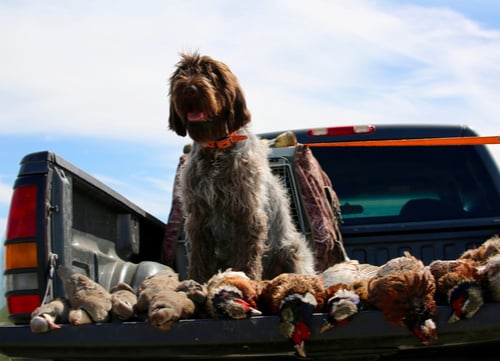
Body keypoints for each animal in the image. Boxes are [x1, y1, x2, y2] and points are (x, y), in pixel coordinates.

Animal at [170, 51, 314, 282]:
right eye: (182, 73)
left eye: (212, 75)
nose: (189, 88)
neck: (216, 149)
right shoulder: (197, 217)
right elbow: (199, 258)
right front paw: (197, 281)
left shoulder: (246, 213)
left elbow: (247, 256)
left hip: (291, 251)